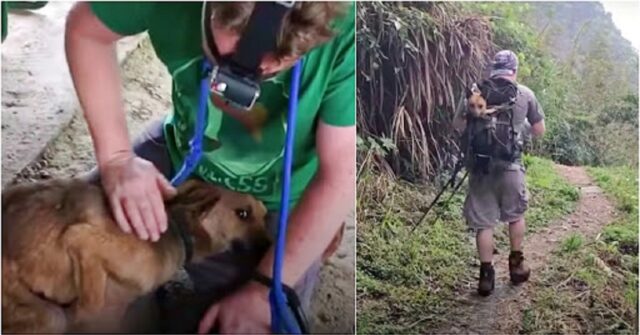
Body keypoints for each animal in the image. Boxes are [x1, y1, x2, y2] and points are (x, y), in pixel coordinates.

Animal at [0, 178, 270, 334]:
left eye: (265, 214)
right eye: (243, 214)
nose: (270, 244)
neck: (176, 228)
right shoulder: (81, 238)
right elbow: (90, 306)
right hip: (51, 318)